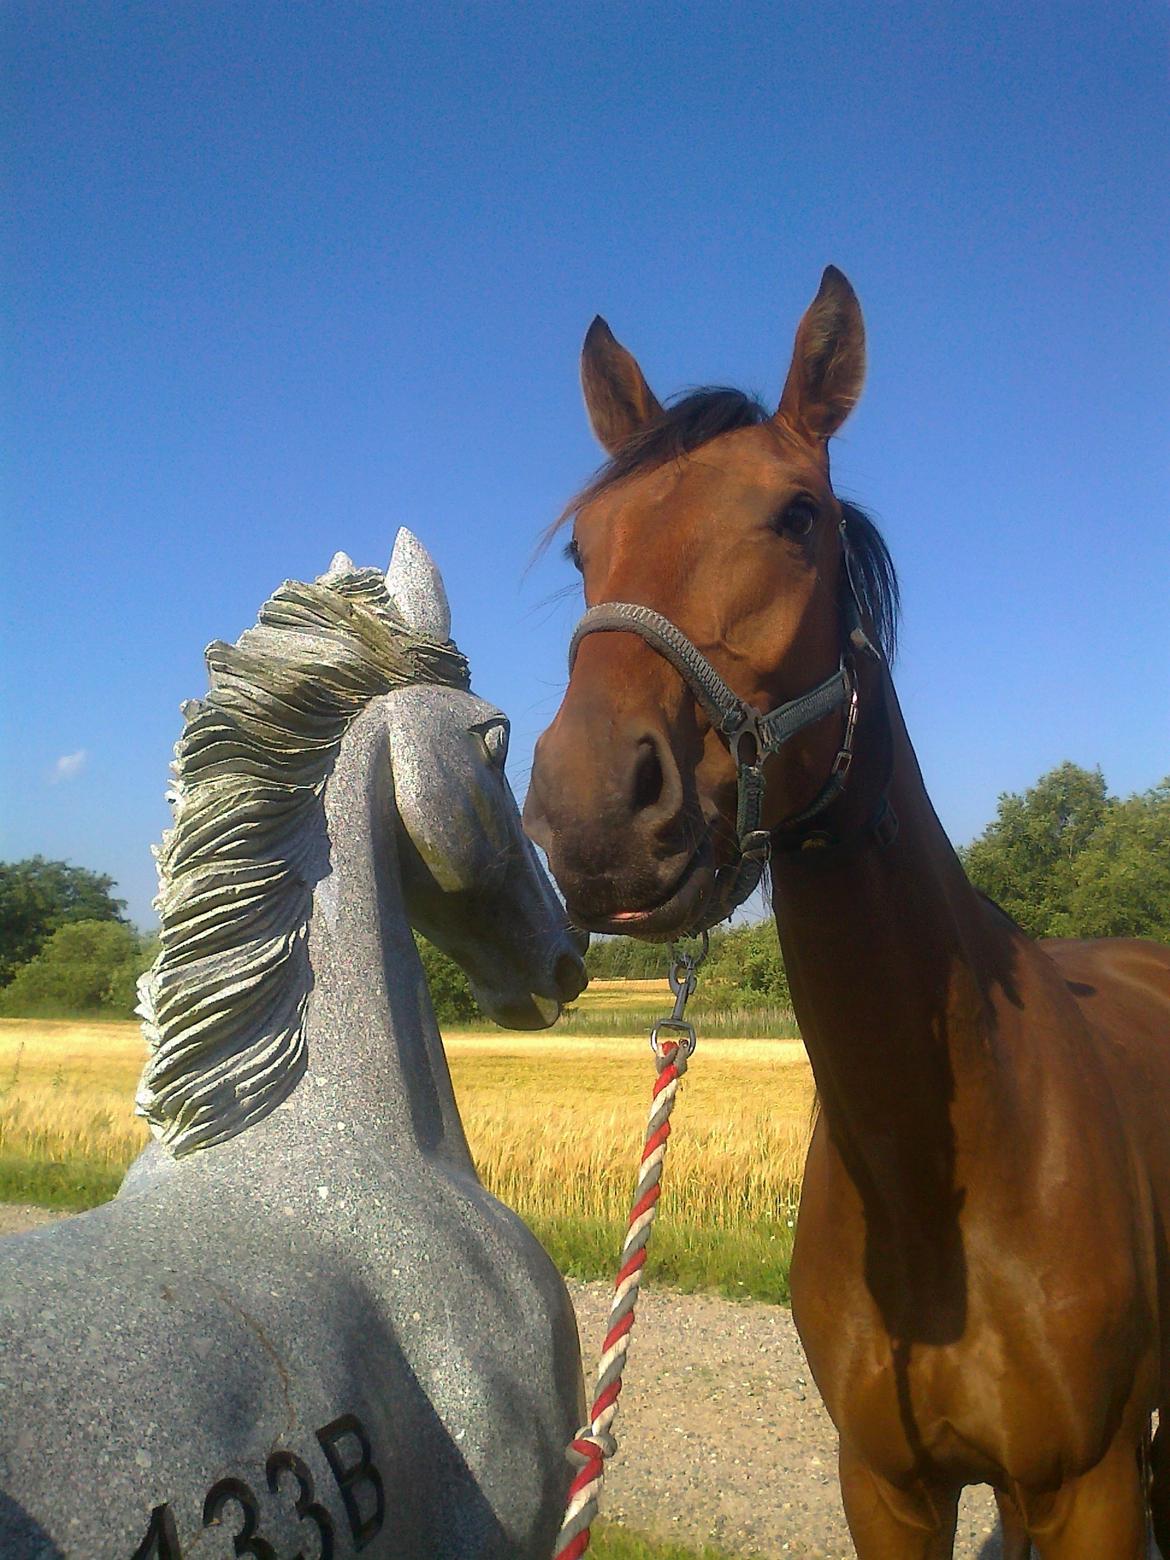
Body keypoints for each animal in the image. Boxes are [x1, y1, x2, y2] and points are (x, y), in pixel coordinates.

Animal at [527, 271, 1170, 1560]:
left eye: (796, 518)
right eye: (584, 544)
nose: (590, 811)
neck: (943, 1181)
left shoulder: (1097, 1489)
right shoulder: (886, 1483)